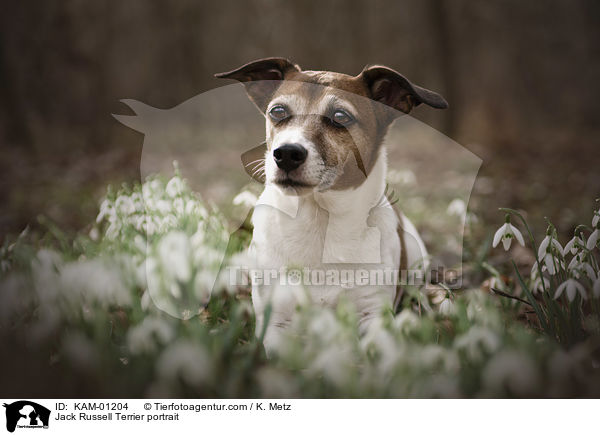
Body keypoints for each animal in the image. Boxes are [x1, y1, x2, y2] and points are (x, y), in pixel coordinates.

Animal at [216, 58, 446, 352]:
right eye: (277, 111)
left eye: (341, 116)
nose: (286, 153)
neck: (319, 220)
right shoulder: (275, 321)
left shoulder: (372, 314)